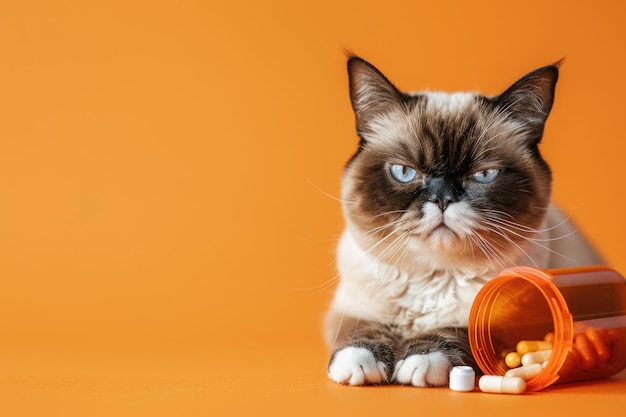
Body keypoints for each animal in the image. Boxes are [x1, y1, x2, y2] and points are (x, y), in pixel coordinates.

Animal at [324, 55, 604, 386]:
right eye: (404, 172)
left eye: (484, 175)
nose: (443, 199)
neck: (435, 276)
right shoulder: (351, 311)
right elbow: (362, 331)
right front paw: (359, 362)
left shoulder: (494, 323)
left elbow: (455, 331)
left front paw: (420, 361)